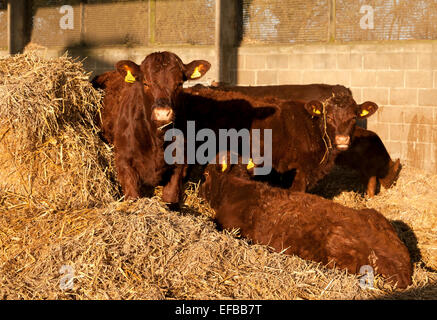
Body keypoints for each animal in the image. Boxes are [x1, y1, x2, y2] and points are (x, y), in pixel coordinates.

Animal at [91, 51, 210, 204]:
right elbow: (132, 196)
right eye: (146, 83)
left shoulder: (180, 162)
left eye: (179, 84)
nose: (162, 113)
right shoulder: (123, 160)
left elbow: (170, 196)